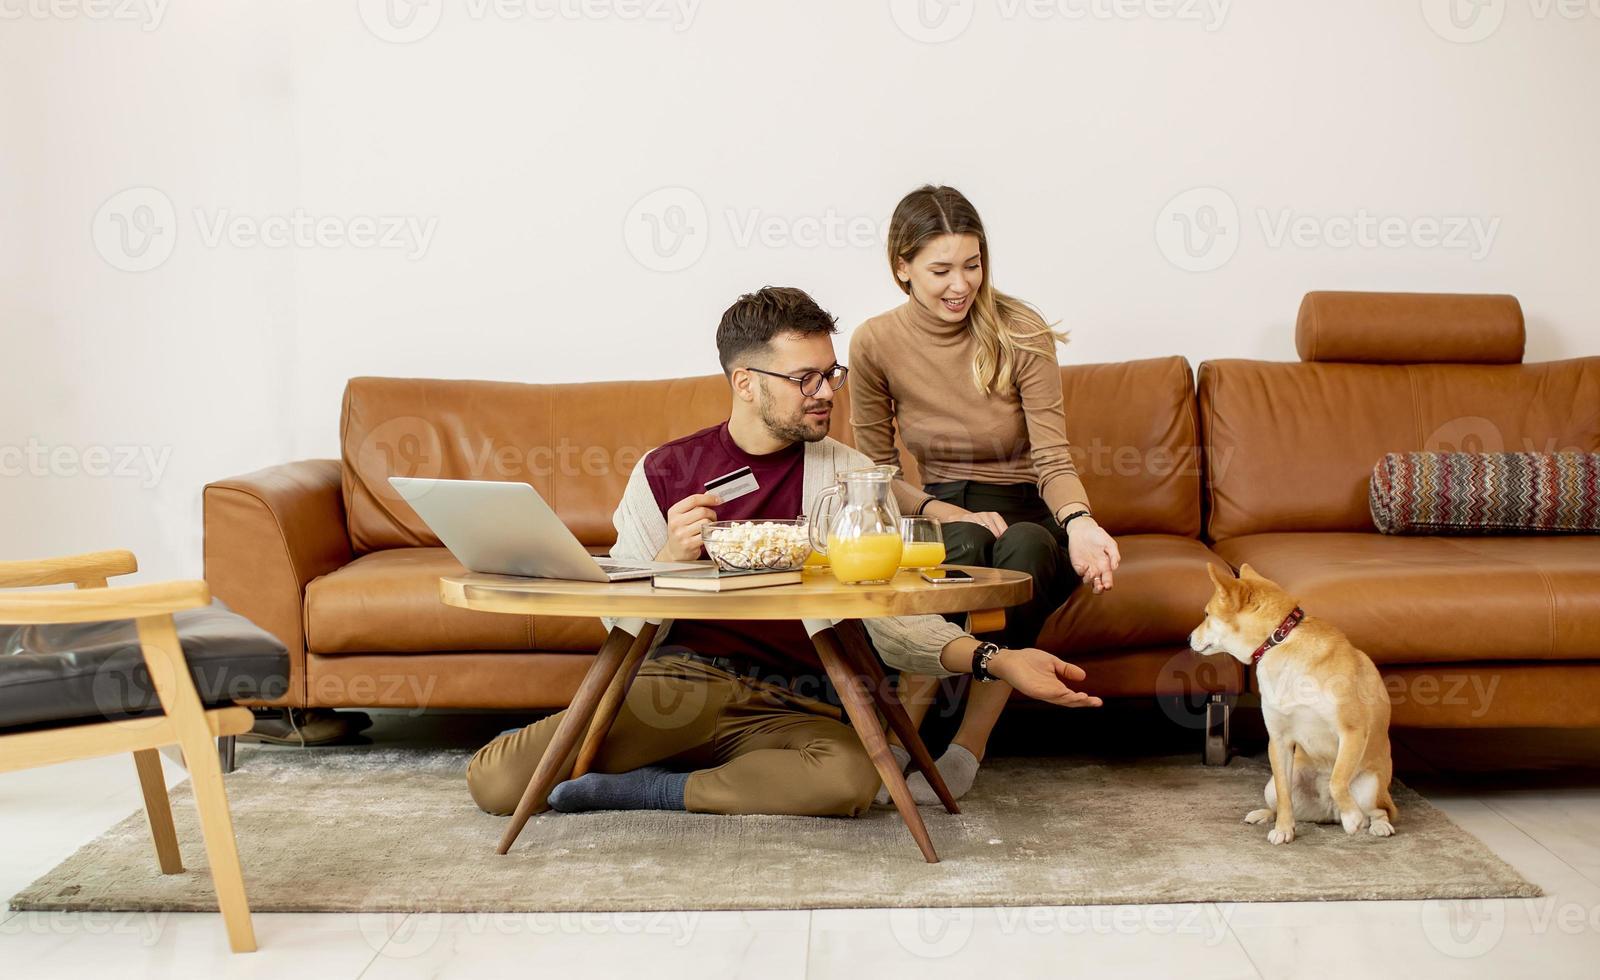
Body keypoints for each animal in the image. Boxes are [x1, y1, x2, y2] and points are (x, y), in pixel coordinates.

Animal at [1184, 563, 1395, 845]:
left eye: (1206, 614)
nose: (1187, 638)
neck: (1280, 641)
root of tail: (1329, 813)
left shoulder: (1352, 730)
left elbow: (1337, 779)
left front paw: (1353, 818)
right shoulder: (1279, 739)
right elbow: (1284, 795)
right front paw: (1284, 829)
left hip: (1370, 786)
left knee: (1381, 810)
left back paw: (1377, 824)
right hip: (1271, 787)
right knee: (1280, 800)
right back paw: (1264, 815)